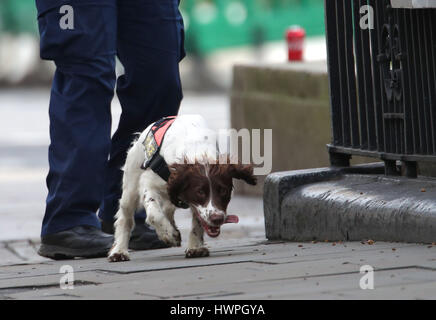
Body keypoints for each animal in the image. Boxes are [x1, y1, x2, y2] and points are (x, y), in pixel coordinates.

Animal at [108, 114, 255, 262]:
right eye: (199, 192)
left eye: (223, 190)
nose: (217, 218)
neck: (197, 152)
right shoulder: (149, 183)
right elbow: (154, 214)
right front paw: (168, 234)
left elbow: (198, 220)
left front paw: (195, 247)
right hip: (130, 188)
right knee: (125, 219)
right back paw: (119, 250)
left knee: (167, 210)